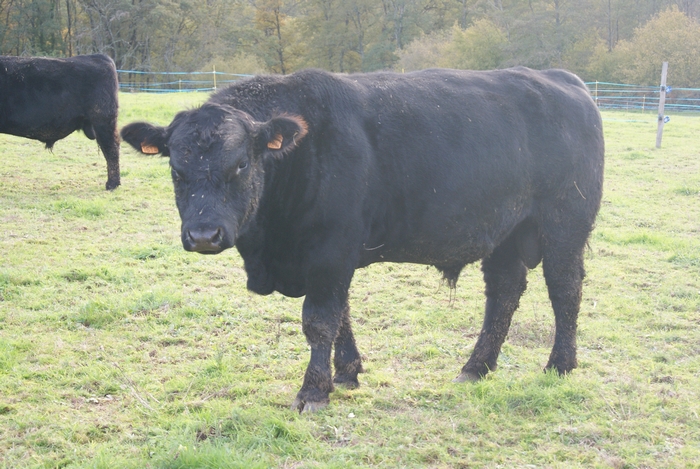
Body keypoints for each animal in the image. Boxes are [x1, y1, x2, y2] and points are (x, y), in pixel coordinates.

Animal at [120, 67, 600, 412]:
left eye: (240, 164)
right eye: (175, 169)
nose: (204, 234)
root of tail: (563, 78)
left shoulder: (330, 251)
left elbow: (319, 320)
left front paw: (313, 391)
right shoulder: (331, 258)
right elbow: (341, 315)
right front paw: (347, 372)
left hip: (564, 225)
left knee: (565, 290)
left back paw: (559, 365)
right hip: (505, 234)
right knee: (503, 293)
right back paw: (476, 367)